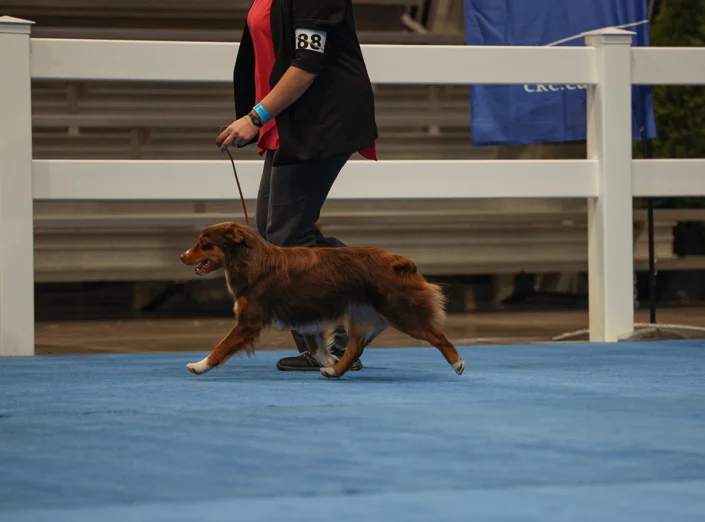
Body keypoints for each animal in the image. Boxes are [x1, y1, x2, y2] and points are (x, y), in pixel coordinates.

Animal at [179, 220, 464, 378]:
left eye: (203, 243)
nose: (182, 256)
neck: (250, 259)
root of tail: (399, 261)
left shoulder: (249, 322)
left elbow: (221, 347)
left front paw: (199, 365)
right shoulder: (307, 317)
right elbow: (318, 349)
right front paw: (329, 362)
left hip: (400, 312)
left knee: (437, 336)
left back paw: (457, 363)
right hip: (362, 315)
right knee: (355, 347)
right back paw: (334, 372)